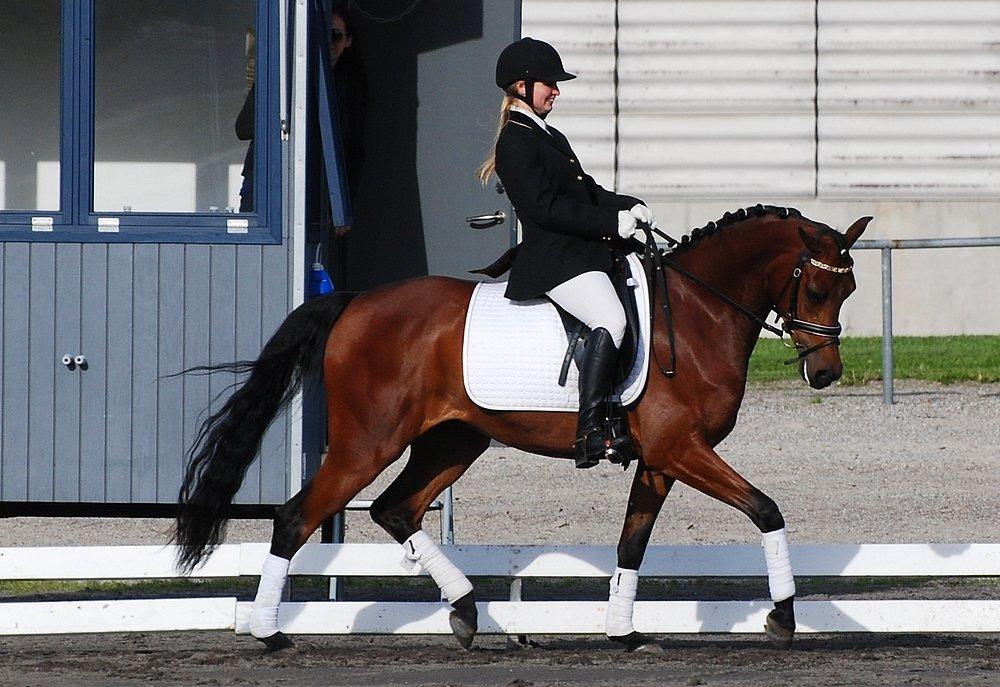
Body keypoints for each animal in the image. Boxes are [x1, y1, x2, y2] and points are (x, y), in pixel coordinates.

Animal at [176, 204, 872, 652]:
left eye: (848, 291)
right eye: (816, 291)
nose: (826, 374)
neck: (700, 313)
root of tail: (355, 301)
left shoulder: (659, 458)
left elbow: (631, 544)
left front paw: (625, 633)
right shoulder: (682, 449)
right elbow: (767, 509)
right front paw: (783, 618)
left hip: (455, 439)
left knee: (397, 508)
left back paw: (465, 614)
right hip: (366, 444)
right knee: (296, 518)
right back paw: (269, 635)